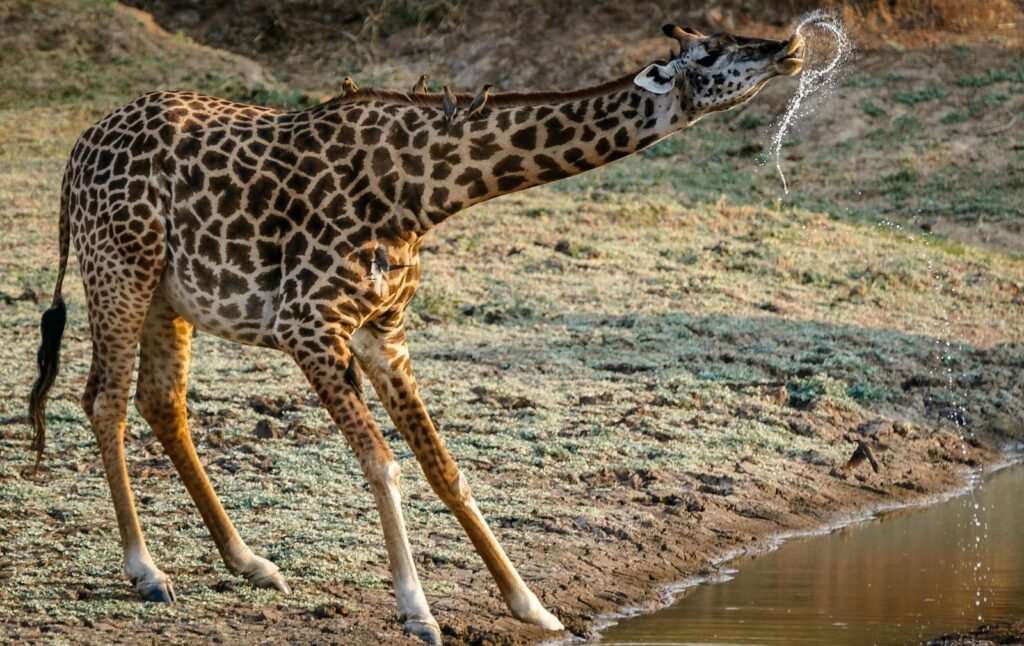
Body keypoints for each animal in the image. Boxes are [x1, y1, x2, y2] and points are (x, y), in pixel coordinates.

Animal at [28, 24, 805, 643]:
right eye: (712, 52)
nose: (790, 47)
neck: (423, 191)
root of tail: (74, 156)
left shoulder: (383, 330)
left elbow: (444, 467)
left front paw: (532, 605)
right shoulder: (307, 323)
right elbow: (384, 463)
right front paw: (418, 612)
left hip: (169, 294)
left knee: (162, 403)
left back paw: (251, 563)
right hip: (119, 268)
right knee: (104, 399)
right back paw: (147, 572)